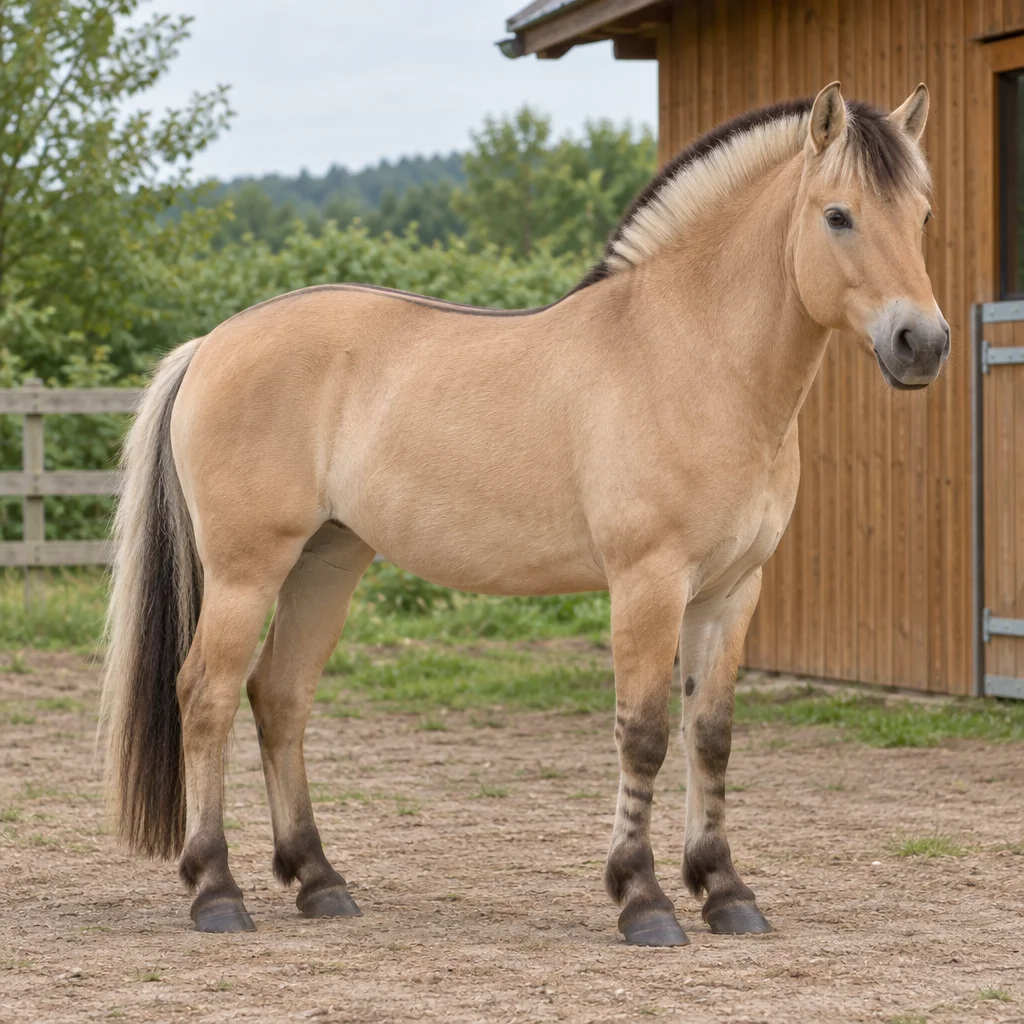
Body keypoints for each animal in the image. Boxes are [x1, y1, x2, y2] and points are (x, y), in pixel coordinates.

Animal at [100, 82, 947, 946]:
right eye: (838, 215)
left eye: (921, 214)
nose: (922, 343)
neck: (693, 355)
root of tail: (211, 343)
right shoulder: (648, 584)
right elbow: (644, 733)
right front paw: (642, 898)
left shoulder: (732, 590)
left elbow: (711, 736)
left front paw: (726, 893)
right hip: (247, 571)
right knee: (205, 696)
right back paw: (216, 890)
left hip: (327, 562)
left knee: (279, 697)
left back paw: (319, 880)